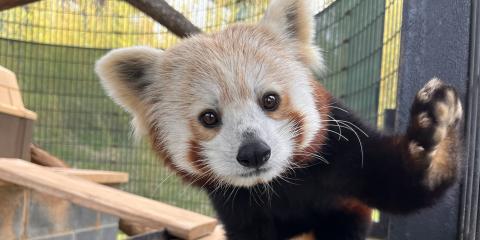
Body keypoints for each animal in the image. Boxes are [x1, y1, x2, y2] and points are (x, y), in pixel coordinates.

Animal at [93, 0, 462, 238]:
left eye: (270, 100)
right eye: (209, 117)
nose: (254, 152)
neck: (278, 186)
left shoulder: (341, 152)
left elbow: (401, 185)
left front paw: (432, 136)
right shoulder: (235, 207)